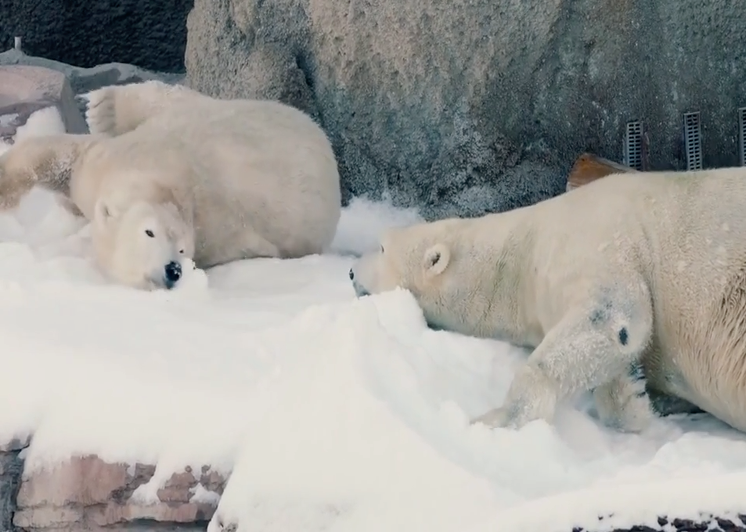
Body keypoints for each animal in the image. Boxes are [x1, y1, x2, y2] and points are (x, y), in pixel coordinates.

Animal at [0, 82, 342, 290]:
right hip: (239, 110)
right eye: (149, 232)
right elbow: (59, 158)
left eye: (182, 250)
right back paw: (106, 107)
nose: (173, 270)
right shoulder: (110, 162)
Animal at [348, 168, 746, 434]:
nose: (350, 272)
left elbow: (613, 317)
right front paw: (637, 399)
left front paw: (495, 418)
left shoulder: (597, 238)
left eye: (380, 246)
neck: (524, 251)